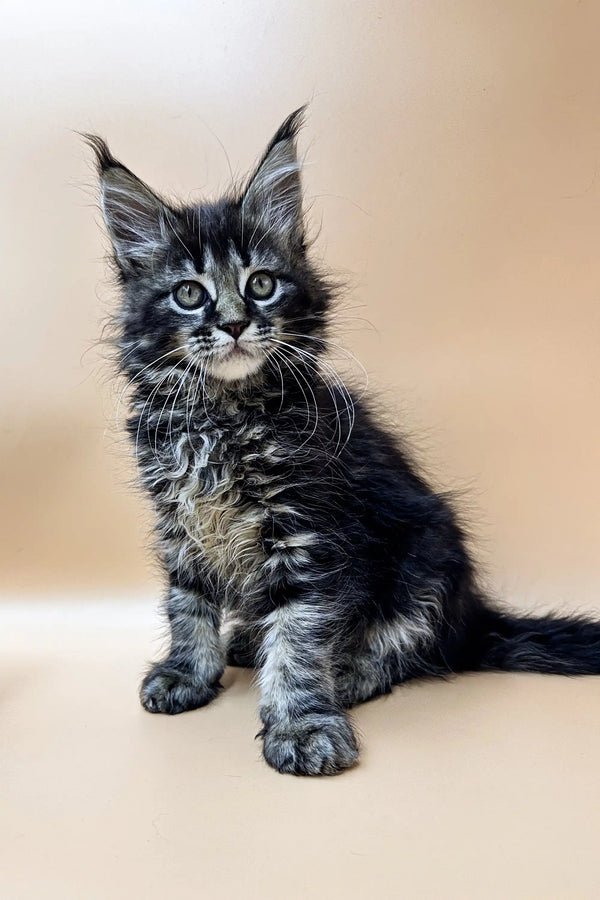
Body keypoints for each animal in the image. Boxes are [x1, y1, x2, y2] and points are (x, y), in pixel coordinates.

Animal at [88, 110, 600, 772]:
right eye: (190, 293)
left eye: (261, 284)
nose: (233, 324)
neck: (222, 416)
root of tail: (473, 617)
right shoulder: (180, 521)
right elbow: (188, 603)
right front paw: (187, 673)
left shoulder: (309, 532)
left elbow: (300, 636)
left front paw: (302, 723)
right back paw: (247, 642)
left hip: (427, 558)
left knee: (408, 650)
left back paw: (350, 671)